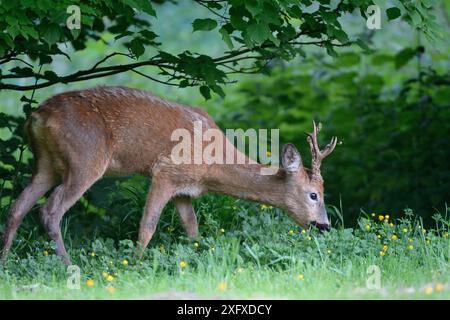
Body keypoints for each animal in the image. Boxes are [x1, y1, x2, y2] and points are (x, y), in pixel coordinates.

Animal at [0, 86, 338, 264]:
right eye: (313, 194)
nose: (324, 226)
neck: (212, 165)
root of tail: (37, 117)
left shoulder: (184, 189)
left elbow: (193, 229)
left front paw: (197, 259)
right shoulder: (164, 172)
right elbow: (147, 226)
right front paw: (133, 265)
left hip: (46, 164)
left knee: (17, 206)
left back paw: (4, 261)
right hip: (85, 159)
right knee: (50, 209)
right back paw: (69, 266)